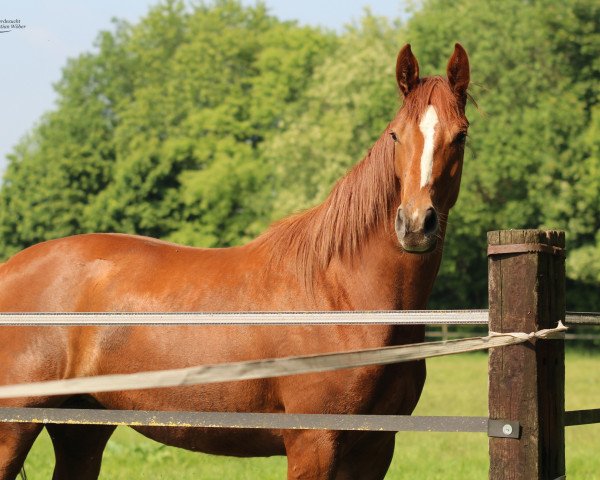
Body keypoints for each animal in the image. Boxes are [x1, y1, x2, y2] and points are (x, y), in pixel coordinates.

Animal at [0, 43, 468, 478]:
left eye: (460, 136)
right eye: (395, 135)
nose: (415, 224)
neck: (342, 297)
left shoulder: (375, 448)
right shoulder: (313, 443)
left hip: (81, 429)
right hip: (14, 431)